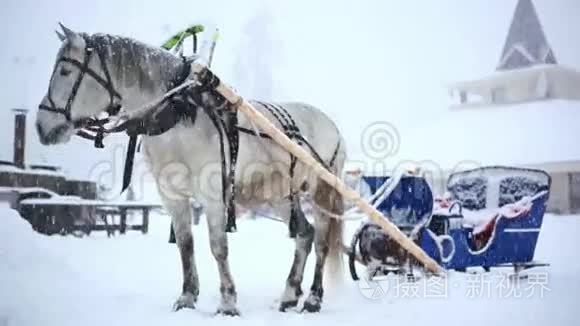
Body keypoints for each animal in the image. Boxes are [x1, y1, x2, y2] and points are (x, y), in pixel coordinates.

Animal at [38, 23, 346, 316]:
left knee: (322, 241)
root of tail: (331, 124)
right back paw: (290, 294)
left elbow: (218, 246)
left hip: (323, 190)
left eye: (65, 70)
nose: (41, 126)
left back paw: (313, 298)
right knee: (305, 235)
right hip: (279, 195)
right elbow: (185, 244)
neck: (178, 116)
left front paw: (228, 303)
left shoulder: (214, 197)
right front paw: (187, 297)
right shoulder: (172, 197)